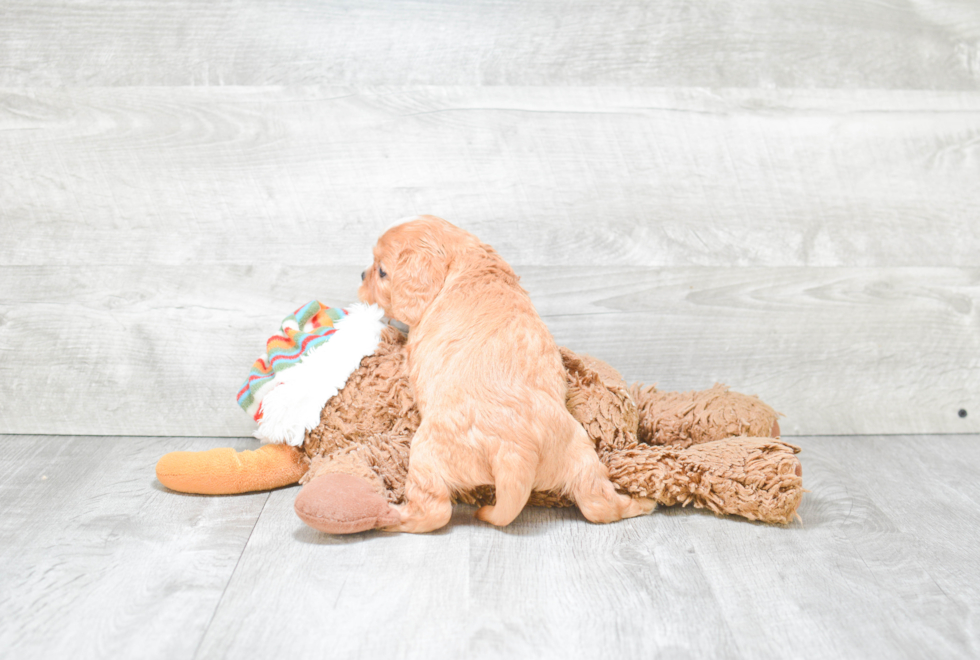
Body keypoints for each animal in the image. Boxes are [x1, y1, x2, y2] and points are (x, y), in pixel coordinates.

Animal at [358, 217, 652, 532]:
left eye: (382, 271)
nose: (361, 273)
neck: (464, 261)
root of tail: (517, 453)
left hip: (426, 454)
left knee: (433, 512)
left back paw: (391, 516)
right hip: (581, 455)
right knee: (599, 504)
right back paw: (641, 504)